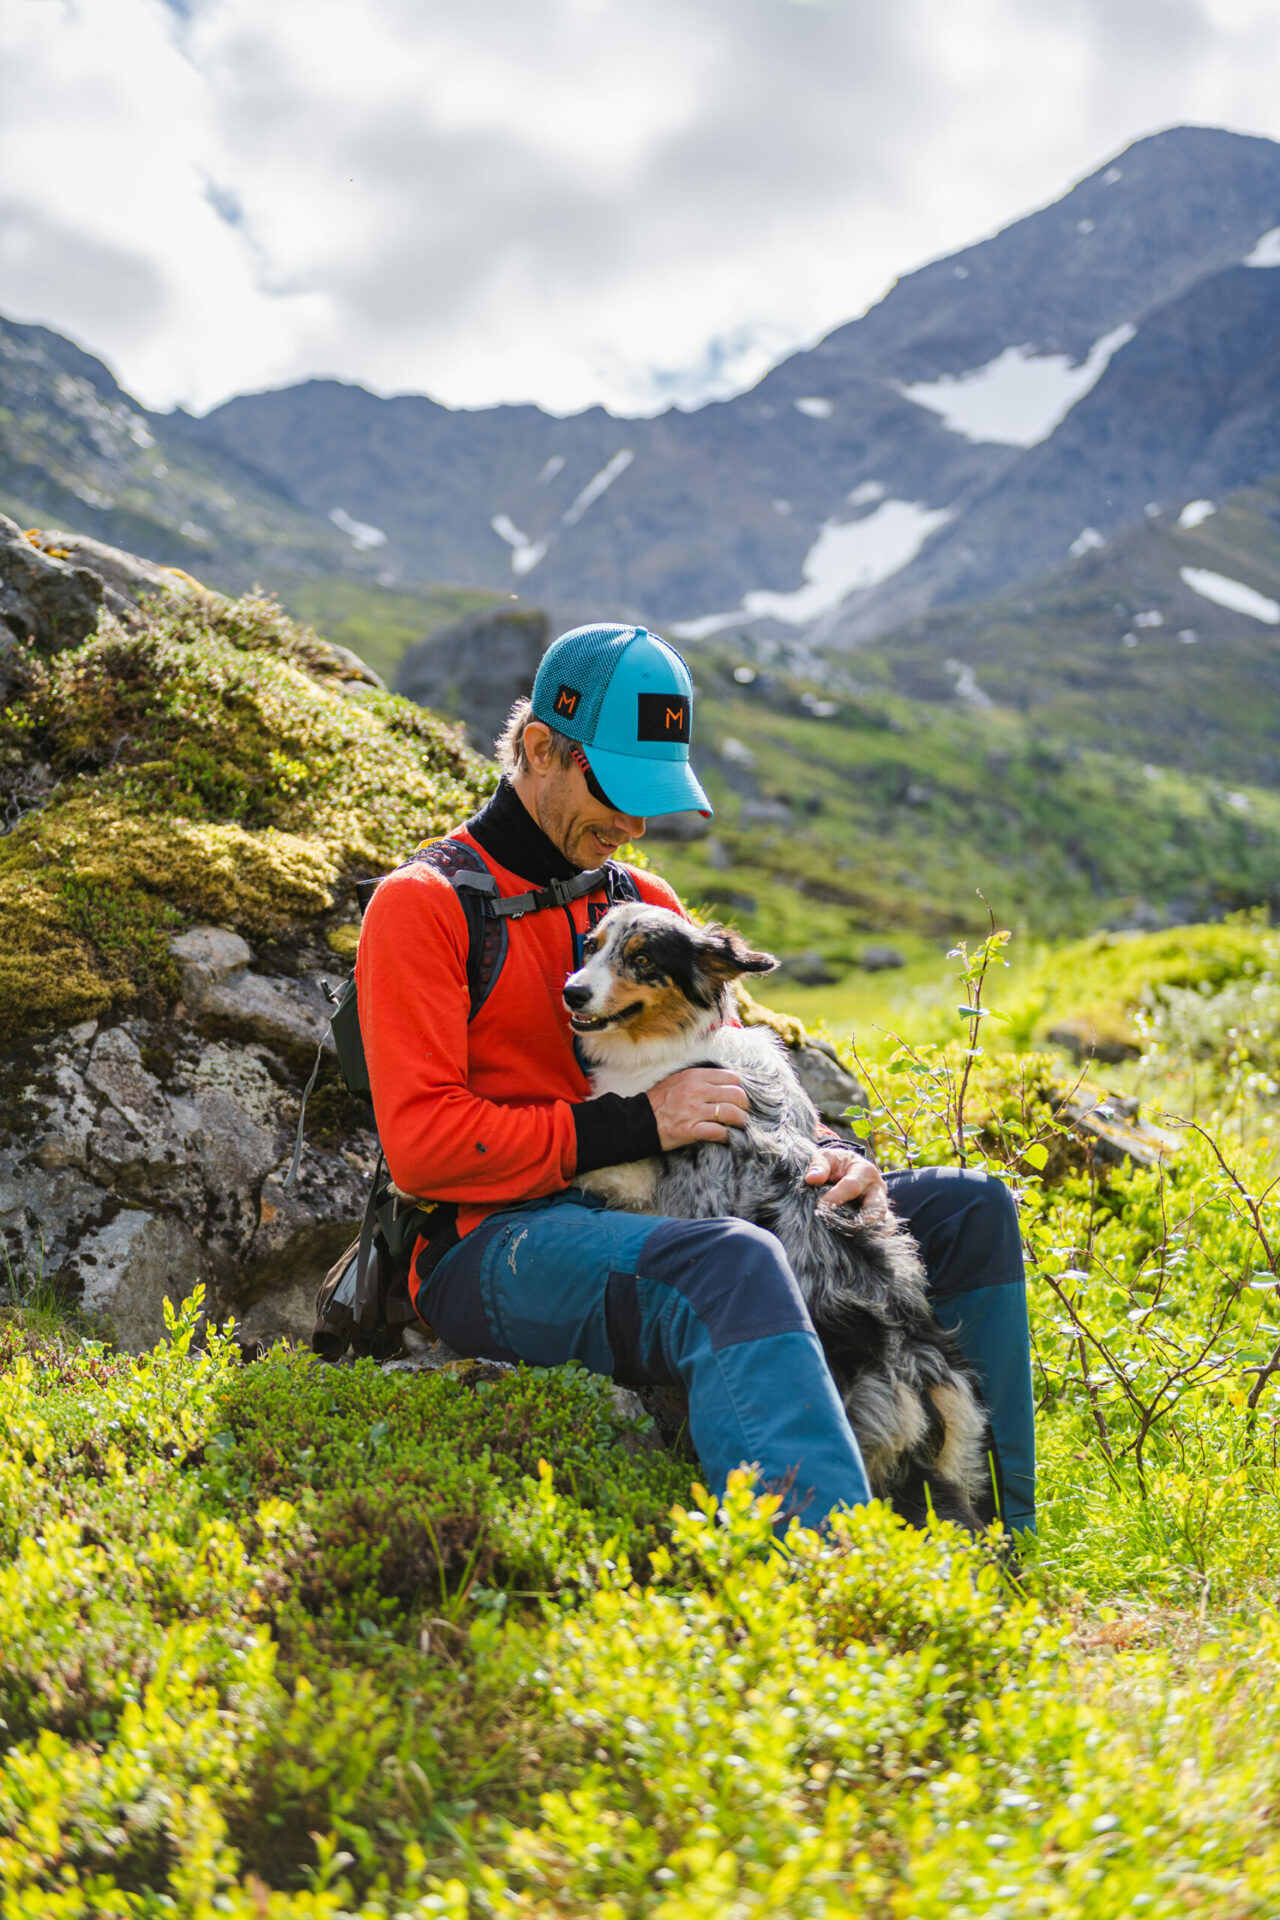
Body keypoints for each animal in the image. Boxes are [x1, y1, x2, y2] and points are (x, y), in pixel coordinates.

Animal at [564, 902, 997, 1528]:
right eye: (591, 946)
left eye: (643, 960)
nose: (572, 992)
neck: (672, 1045)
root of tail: (918, 1363)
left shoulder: (646, 1179)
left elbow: (588, 1163)